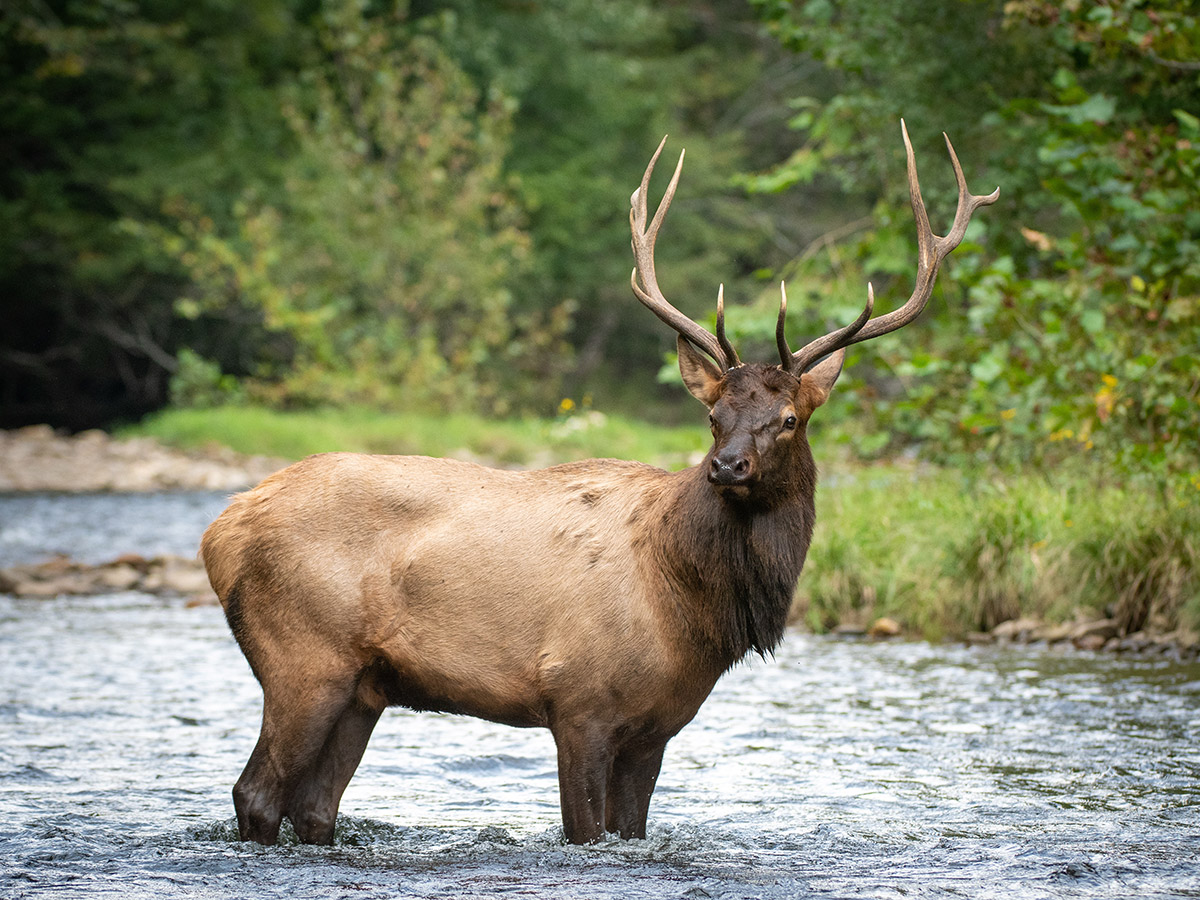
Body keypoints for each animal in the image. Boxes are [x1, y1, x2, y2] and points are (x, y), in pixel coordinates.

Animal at [200, 120, 997, 847]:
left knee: (315, 809)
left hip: (364, 686)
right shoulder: (577, 702)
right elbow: (584, 831)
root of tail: (218, 532)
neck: (687, 603)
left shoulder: (657, 728)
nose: (727, 466)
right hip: (305, 659)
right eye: (714, 415)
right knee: (256, 793)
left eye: (789, 418)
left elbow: (629, 829)